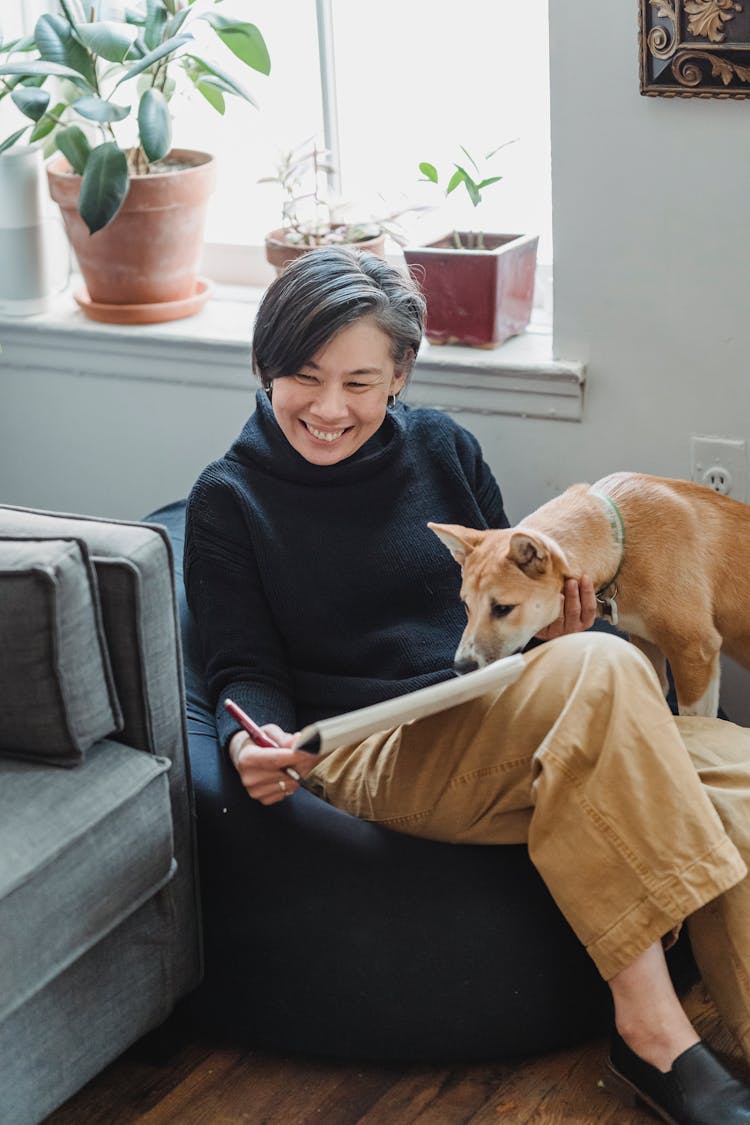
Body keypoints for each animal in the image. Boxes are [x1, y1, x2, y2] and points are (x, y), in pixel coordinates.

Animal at [427, 470, 750, 715]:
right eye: (466, 606)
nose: (461, 667)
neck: (620, 541)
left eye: (503, 608)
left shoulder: (695, 649)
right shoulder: (646, 643)